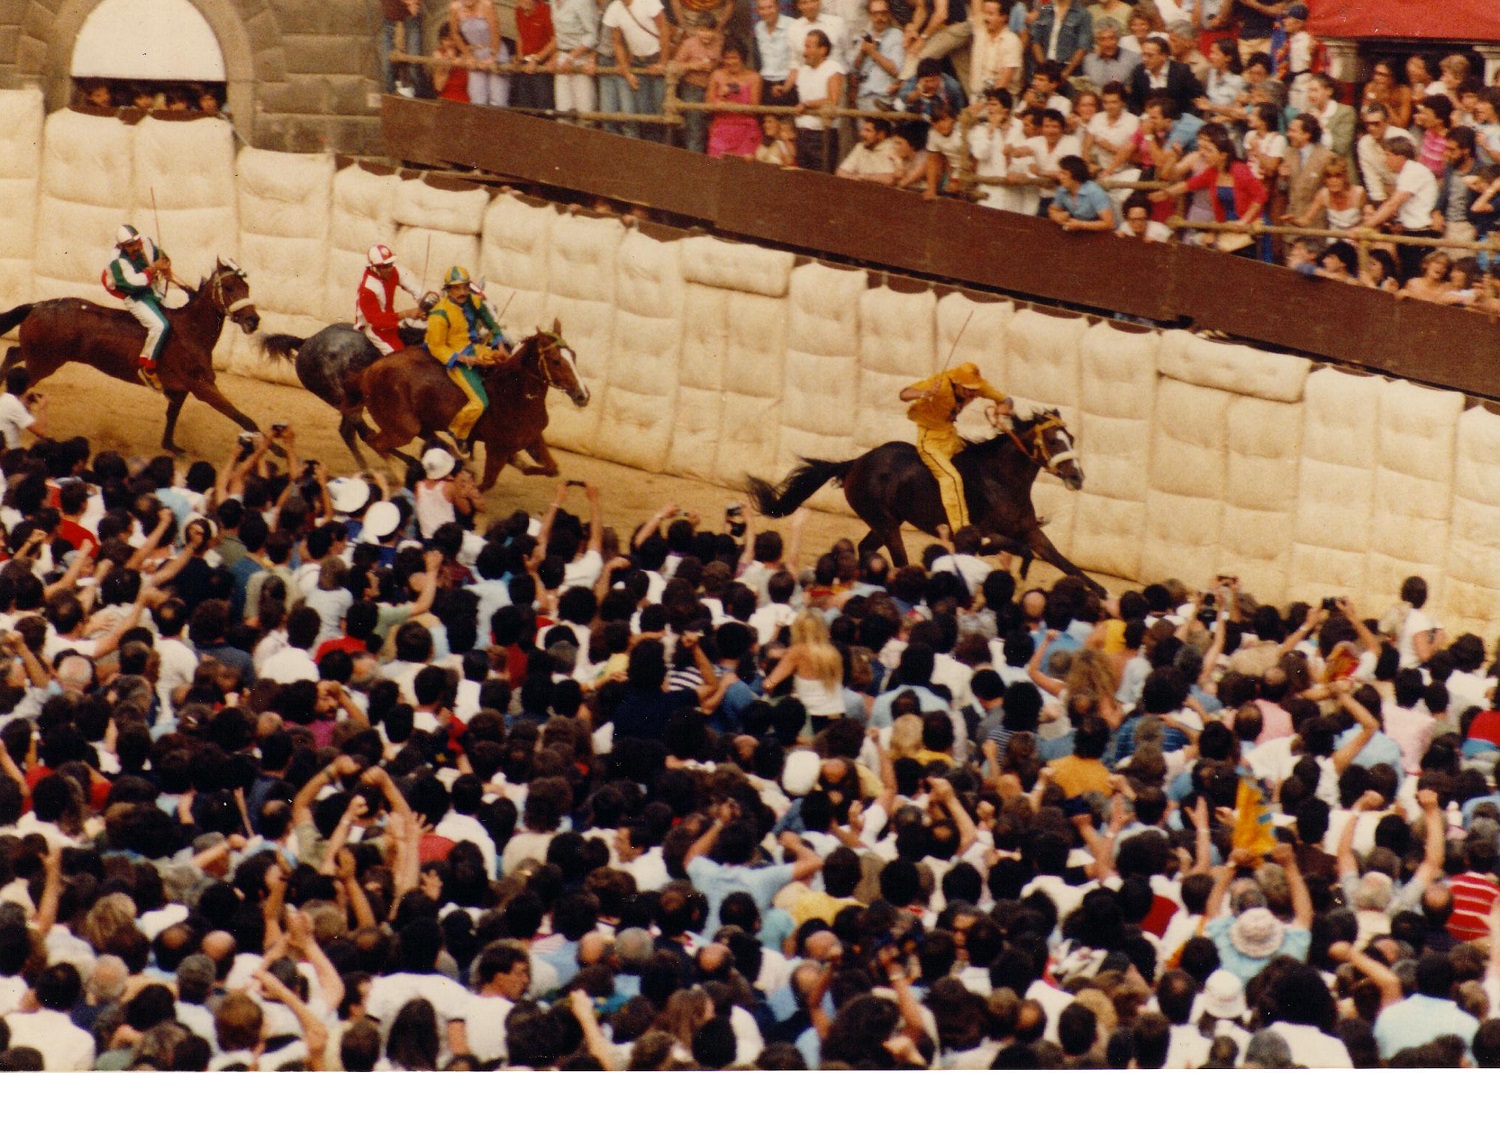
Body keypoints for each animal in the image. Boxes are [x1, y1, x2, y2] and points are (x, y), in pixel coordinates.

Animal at [0, 261, 262, 453]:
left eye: (247, 288)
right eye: (229, 288)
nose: (253, 320)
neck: (191, 331)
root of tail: (37, 305)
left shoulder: (180, 388)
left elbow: (172, 416)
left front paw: (171, 446)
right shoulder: (202, 386)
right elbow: (245, 419)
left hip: (36, 354)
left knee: (12, 354)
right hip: (44, 362)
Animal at [354, 318, 588, 489]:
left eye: (574, 355)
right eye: (556, 361)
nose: (583, 395)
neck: (514, 395)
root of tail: (368, 371)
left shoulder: (534, 439)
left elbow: (552, 468)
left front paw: (519, 463)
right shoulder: (497, 449)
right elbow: (486, 483)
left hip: (421, 426)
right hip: (403, 428)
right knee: (375, 442)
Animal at [747, 408, 1110, 591]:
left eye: (1071, 437)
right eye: (1053, 440)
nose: (1077, 477)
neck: (1002, 480)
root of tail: (856, 462)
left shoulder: (1031, 531)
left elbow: (1066, 564)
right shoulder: (979, 533)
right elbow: (1018, 550)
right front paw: (1017, 574)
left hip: (885, 522)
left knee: (867, 548)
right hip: (885, 523)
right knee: (899, 561)